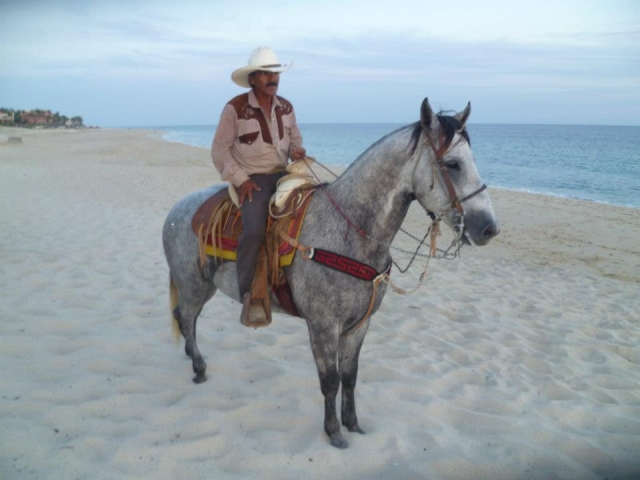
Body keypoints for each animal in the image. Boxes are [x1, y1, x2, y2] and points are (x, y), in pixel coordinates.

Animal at [162, 98, 499, 448]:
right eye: (453, 164)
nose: (489, 228)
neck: (348, 231)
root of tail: (176, 210)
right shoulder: (323, 327)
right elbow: (330, 380)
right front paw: (334, 432)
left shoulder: (359, 325)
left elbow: (350, 377)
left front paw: (353, 424)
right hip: (193, 285)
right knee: (184, 317)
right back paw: (199, 367)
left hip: (203, 287)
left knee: (187, 318)